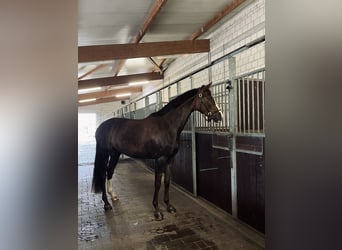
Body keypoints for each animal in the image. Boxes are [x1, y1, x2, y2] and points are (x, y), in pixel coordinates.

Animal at [93, 83, 222, 220]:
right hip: (104, 153)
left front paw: (169, 206)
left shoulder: (170, 159)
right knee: (102, 174)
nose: (219, 117)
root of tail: (101, 126)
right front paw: (157, 210)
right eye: (208, 98)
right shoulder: (159, 159)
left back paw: (113, 196)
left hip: (115, 154)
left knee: (109, 171)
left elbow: (167, 181)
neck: (167, 125)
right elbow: (158, 183)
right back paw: (106, 204)